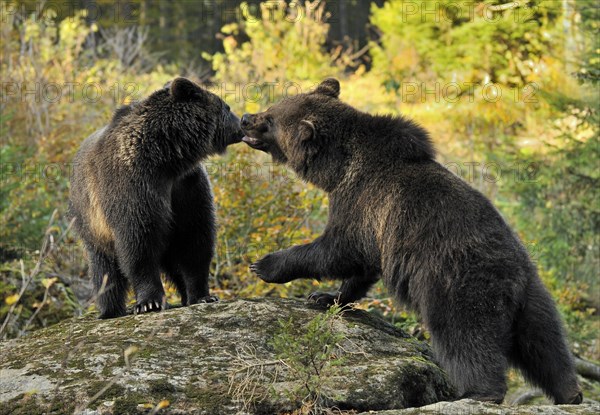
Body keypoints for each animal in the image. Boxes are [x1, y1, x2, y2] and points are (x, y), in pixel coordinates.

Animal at [67, 77, 241, 318]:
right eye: (227, 107)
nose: (243, 123)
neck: (166, 158)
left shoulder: (187, 187)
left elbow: (194, 239)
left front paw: (203, 295)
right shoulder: (133, 186)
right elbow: (139, 242)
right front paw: (149, 302)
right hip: (90, 221)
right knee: (105, 267)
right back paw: (110, 310)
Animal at [241, 78, 584, 406]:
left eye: (270, 119)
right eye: (273, 105)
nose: (245, 118)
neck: (338, 169)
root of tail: (512, 279)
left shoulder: (361, 200)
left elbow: (338, 250)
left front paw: (266, 265)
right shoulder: (377, 228)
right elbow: (360, 267)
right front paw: (327, 297)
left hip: (456, 283)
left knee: (465, 336)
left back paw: (479, 391)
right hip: (533, 295)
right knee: (545, 345)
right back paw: (570, 392)